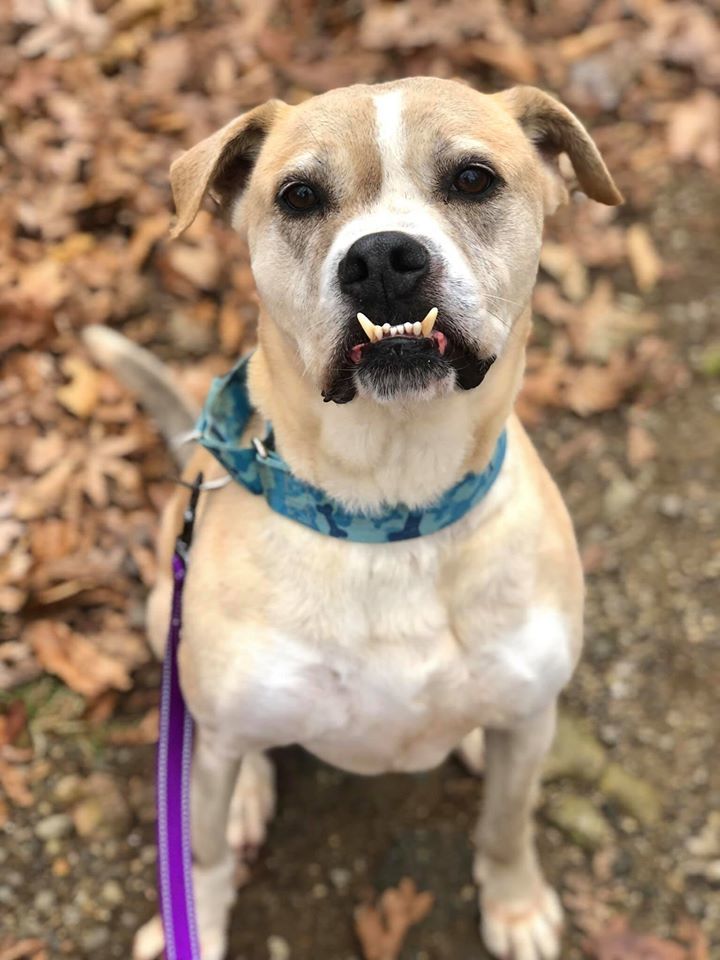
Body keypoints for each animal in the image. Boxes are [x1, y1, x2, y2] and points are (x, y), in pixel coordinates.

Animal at [84, 77, 620, 960]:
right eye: (299, 196)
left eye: (473, 179)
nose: (382, 261)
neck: (388, 514)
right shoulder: (217, 733)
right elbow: (198, 853)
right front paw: (192, 920)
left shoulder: (532, 717)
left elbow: (507, 823)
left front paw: (514, 905)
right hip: (171, 618)